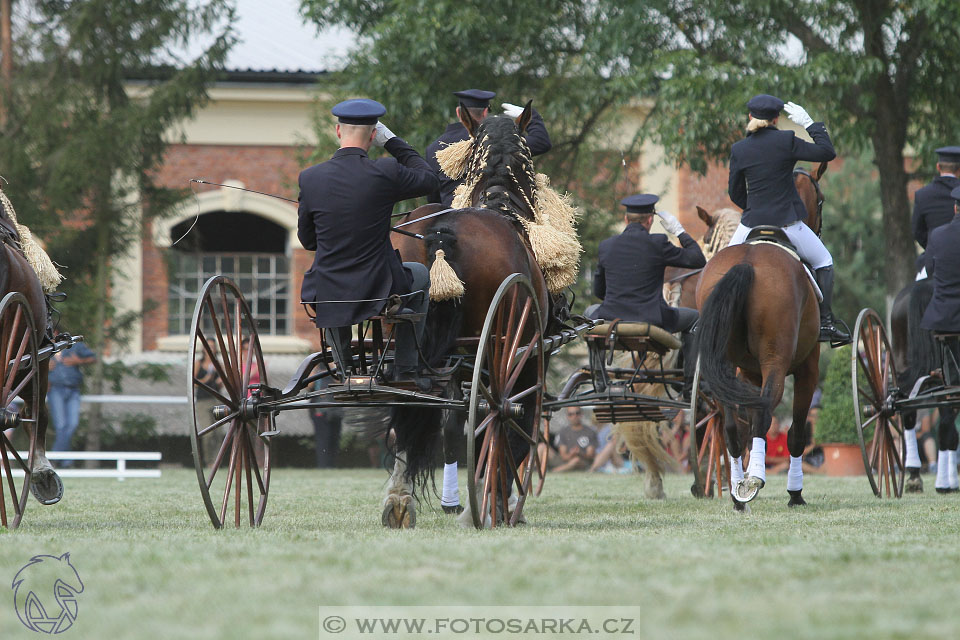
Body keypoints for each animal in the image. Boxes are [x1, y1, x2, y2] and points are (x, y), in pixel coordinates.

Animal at [378, 102, 552, 528]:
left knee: (406, 408)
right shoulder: (523, 356)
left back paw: (399, 498)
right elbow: (510, 430)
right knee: (493, 418)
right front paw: (499, 502)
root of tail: (440, 233)